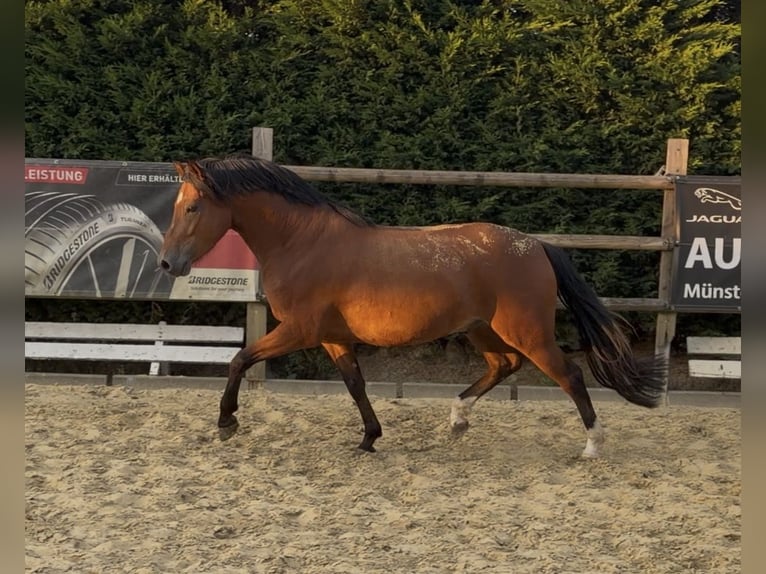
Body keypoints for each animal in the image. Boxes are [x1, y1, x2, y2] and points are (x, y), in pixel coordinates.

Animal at [158, 155, 666, 458]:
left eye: (192, 207)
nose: (168, 263)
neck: (302, 243)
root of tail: (537, 244)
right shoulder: (333, 338)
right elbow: (356, 386)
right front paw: (369, 439)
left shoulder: (299, 331)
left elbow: (239, 359)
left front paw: (226, 422)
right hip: (482, 329)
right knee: (504, 365)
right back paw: (457, 419)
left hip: (528, 331)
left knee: (570, 375)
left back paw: (593, 445)